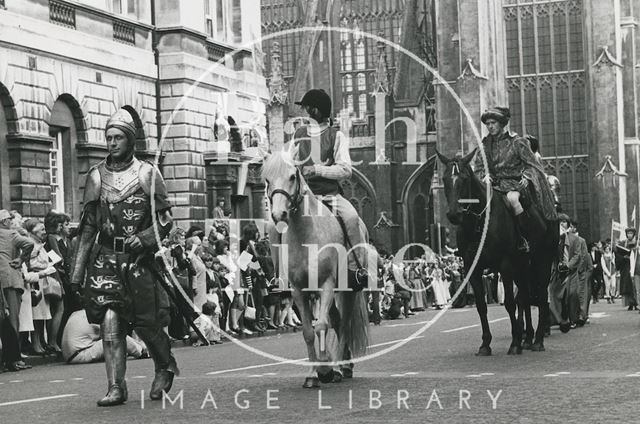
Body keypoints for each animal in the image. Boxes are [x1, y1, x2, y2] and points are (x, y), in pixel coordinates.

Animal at [438, 149, 556, 354]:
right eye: (444, 179)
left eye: (465, 179)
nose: (454, 214)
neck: (479, 223)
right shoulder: (472, 268)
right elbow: (481, 305)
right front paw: (486, 344)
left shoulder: (505, 265)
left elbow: (509, 303)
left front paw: (515, 342)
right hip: (523, 267)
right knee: (525, 298)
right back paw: (528, 338)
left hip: (542, 262)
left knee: (540, 297)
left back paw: (538, 340)